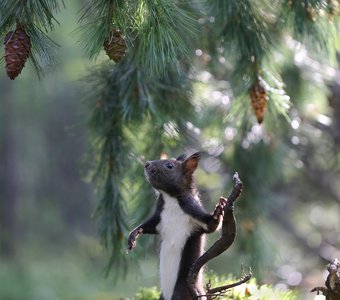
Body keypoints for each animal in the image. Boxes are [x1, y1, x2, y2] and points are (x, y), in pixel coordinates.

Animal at [127, 152, 226, 300]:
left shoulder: (192, 211)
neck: (170, 198)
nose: (147, 164)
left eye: (169, 166)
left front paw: (218, 211)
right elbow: (147, 226)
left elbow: (211, 226)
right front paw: (132, 236)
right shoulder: (159, 220)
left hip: (181, 288)